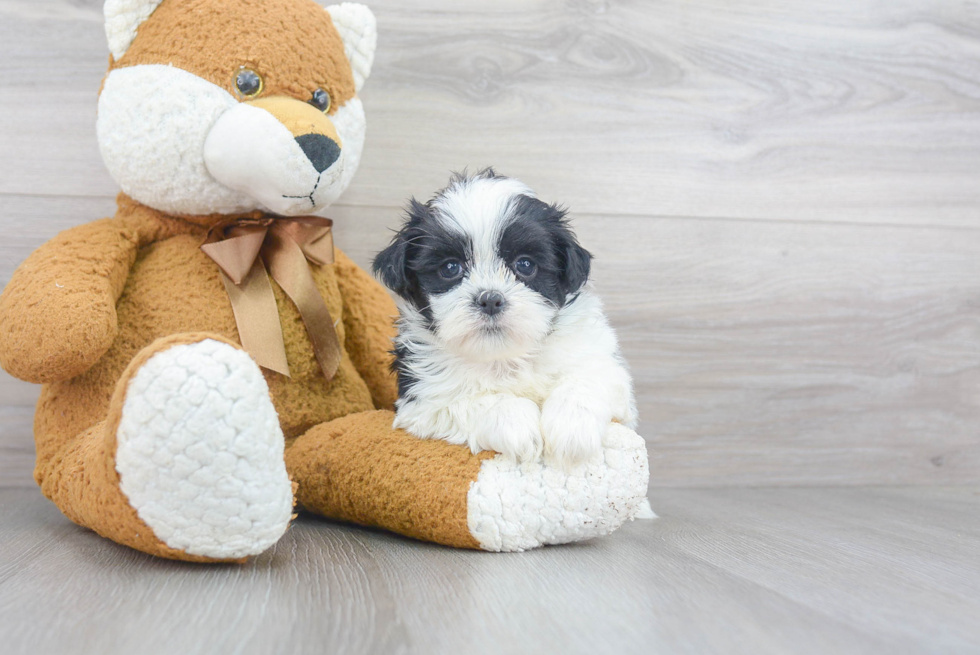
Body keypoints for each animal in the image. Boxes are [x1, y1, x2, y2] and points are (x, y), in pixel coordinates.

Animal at [372, 169, 640, 466]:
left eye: (525, 265)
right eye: (450, 268)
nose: (490, 299)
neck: (504, 357)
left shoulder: (602, 365)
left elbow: (585, 380)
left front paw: (571, 431)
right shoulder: (424, 401)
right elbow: (479, 402)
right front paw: (520, 428)